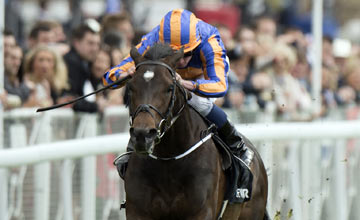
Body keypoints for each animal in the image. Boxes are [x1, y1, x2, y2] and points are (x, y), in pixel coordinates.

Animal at [123, 43, 268, 220]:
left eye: (169, 88)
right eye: (130, 87)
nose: (143, 134)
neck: (168, 159)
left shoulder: (201, 211)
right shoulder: (137, 211)